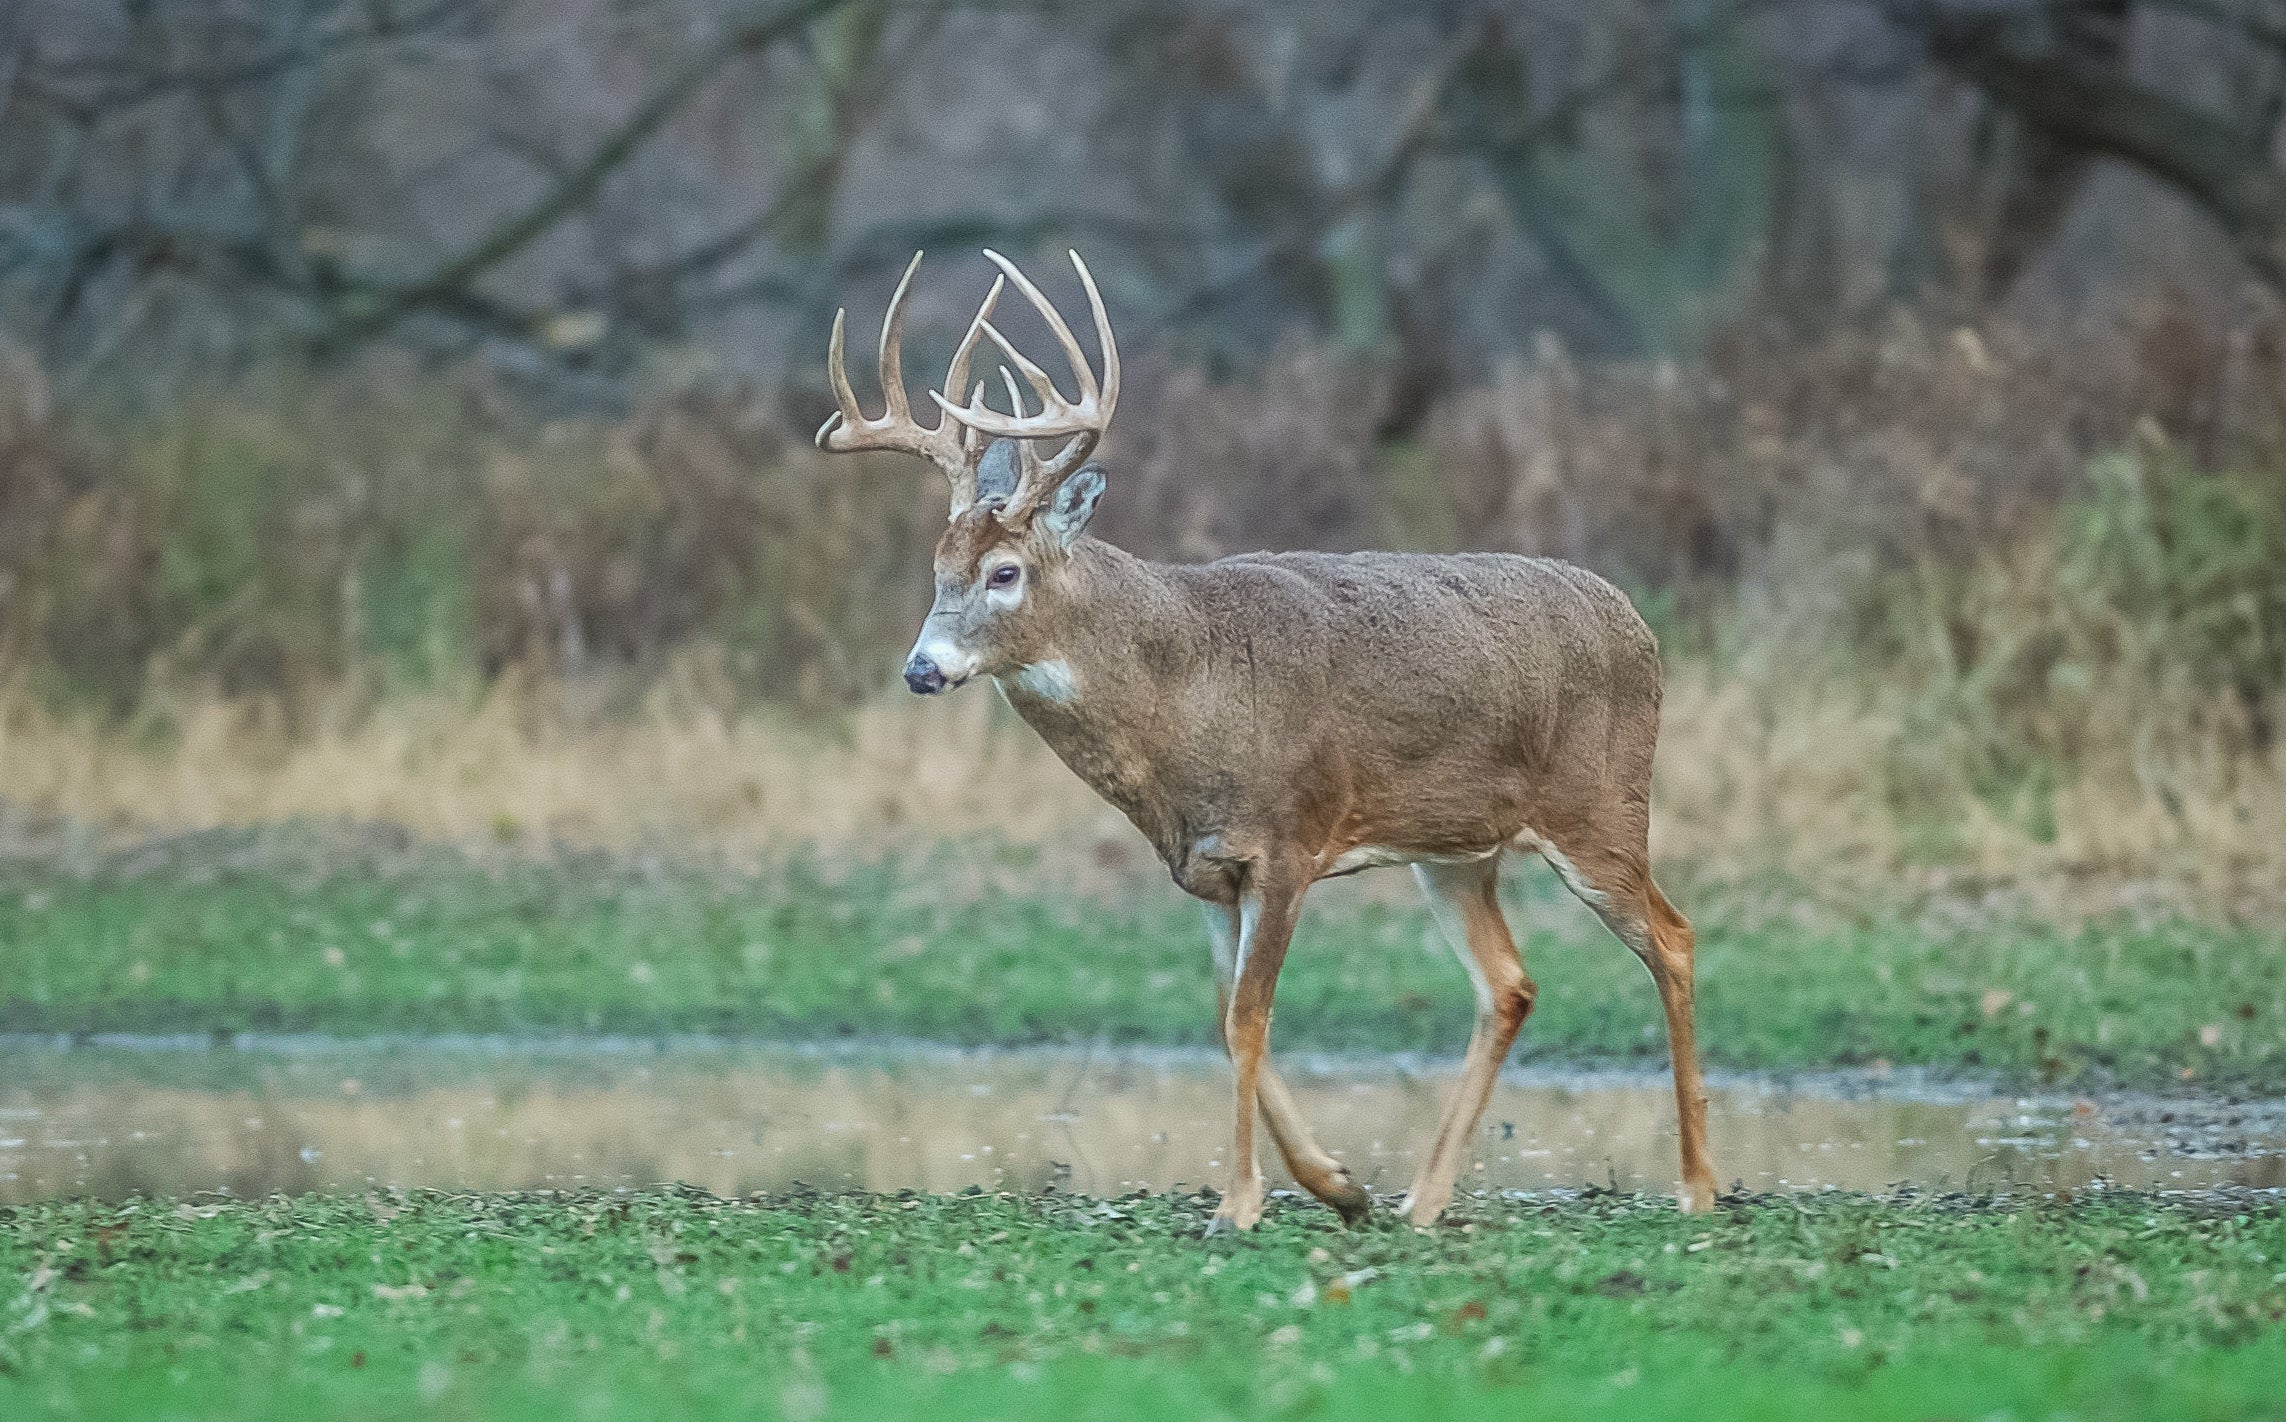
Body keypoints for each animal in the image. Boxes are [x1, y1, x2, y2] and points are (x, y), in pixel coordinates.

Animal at [814, 249, 1716, 1233]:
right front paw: (1339, 1184)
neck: (1182, 698)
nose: (922, 668)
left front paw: (1239, 1203)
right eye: (937, 569)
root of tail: (1637, 625)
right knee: (1509, 984)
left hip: (1600, 809)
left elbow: (1250, 1017)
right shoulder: (1206, 869)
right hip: (1456, 853)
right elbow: (1221, 1016)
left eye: (1005, 573)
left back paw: (1698, 1185)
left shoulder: (1289, 841)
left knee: (1672, 937)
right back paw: (1421, 1200)